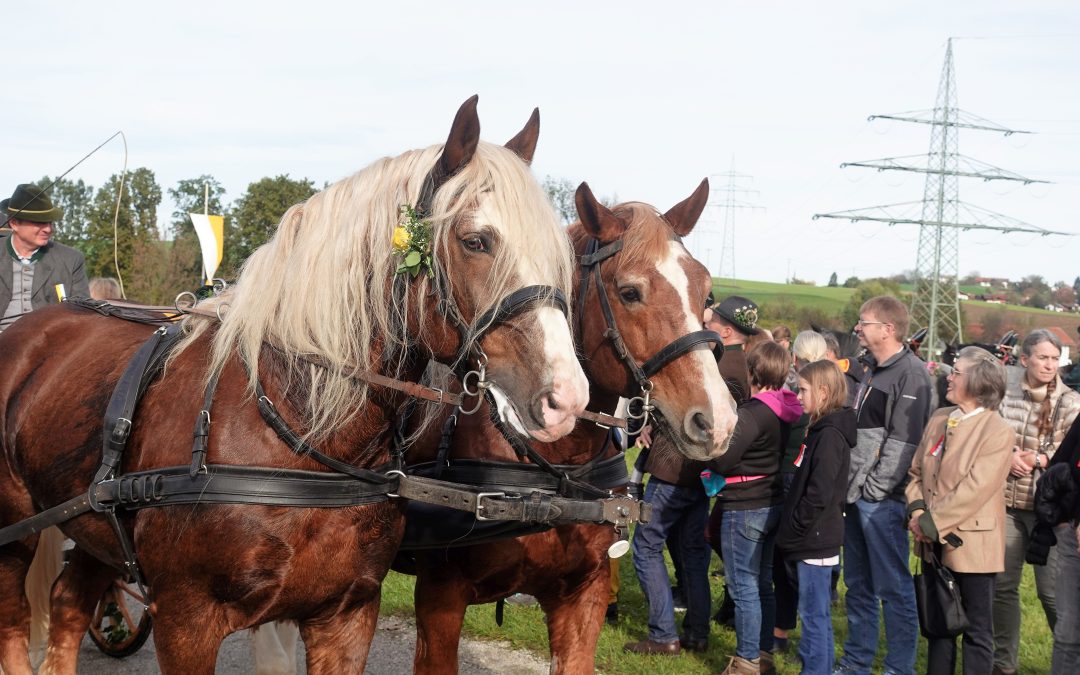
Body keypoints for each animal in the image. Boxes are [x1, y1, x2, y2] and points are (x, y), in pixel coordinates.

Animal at [0, 95, 591, 673]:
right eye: (475, 241)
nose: (566, 397)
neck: (299, 434)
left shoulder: (347, 614)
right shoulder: (185, 621)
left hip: (93, 526)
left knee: (68, 604)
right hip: (16, 530)